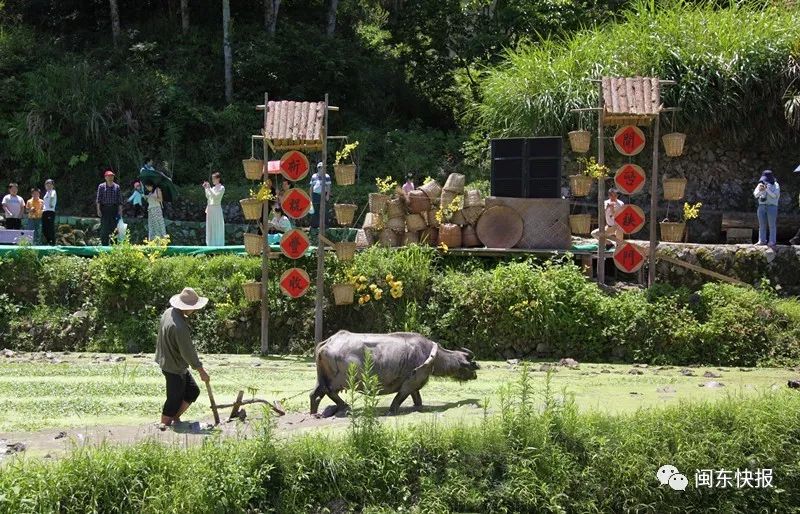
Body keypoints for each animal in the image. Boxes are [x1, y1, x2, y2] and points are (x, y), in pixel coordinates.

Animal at [310, 330, 478, 414]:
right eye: (471, 364)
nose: (476, 374)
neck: (431, 354)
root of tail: (327, 342)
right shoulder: (411, 382)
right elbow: (399, 398)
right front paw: (392, 410)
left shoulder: (414, 385)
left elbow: (417, 399)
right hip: (338, 380)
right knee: (328, 392)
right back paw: (344, 406)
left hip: (321, 378)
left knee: (314, 394)